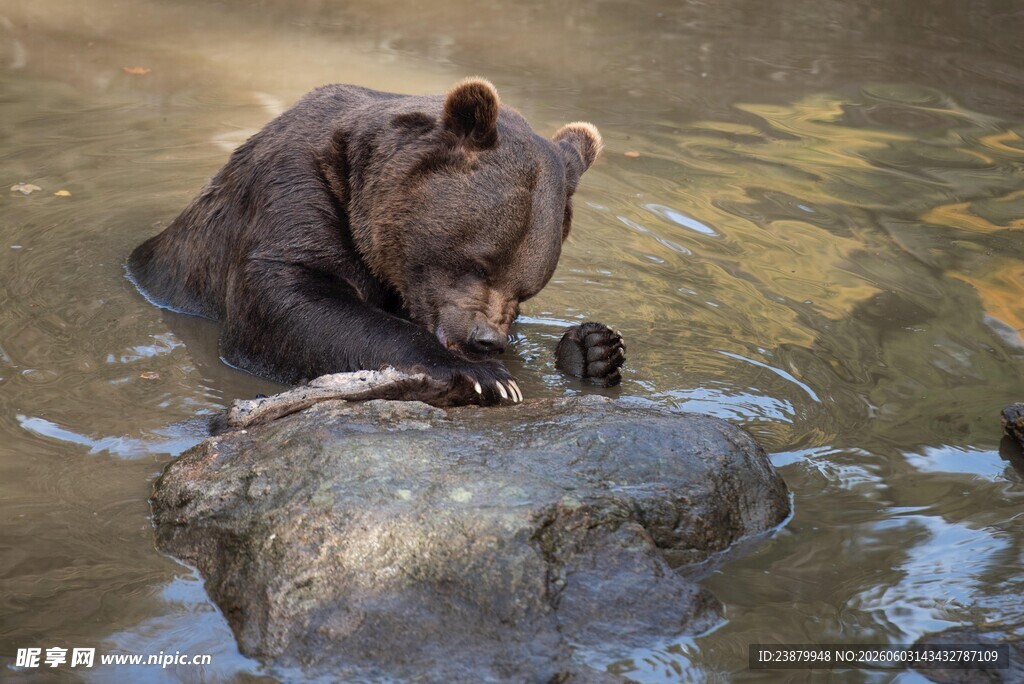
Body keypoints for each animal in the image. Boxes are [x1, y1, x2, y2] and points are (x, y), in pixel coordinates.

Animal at [128, 78, 625, 405]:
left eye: (526, 289)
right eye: (479, 263)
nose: (486, 340)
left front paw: (595, 349)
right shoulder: (295, 195)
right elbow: (287, 302)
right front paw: (484, 375)